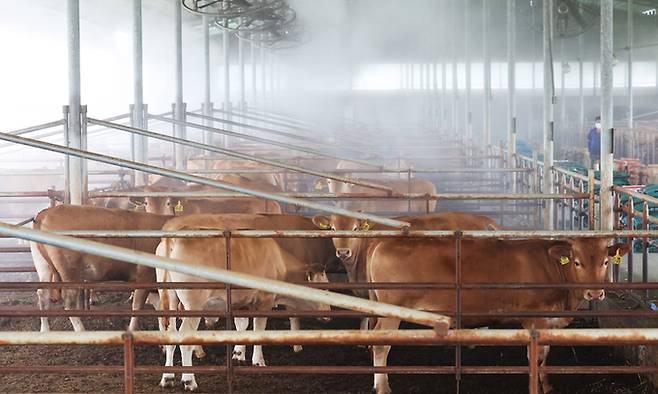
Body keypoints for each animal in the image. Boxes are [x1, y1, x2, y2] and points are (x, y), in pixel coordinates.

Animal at [29, 205, 170, 330]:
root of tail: (45, 213)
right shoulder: (144, 277)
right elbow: (138, 307)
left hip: (43, 265)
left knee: (42, 294)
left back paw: (45, 330)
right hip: (69, 272)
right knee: (69, 302)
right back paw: (81, 330)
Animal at [366, 235, 628, 392]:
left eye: (605, 262)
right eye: (577, 262)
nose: (595, 293)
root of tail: (383, 241)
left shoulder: (549, 320)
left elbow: (545, 354)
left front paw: (547, 385)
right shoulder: (533, 318)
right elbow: (535, 356)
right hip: (391, 311)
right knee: (380, 345)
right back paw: (383, 387)